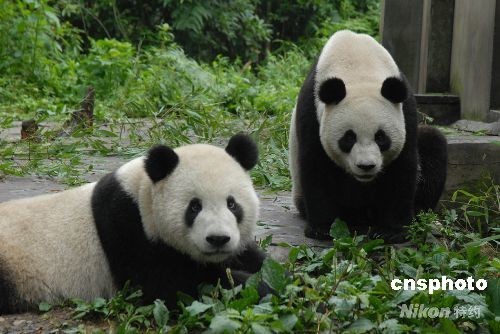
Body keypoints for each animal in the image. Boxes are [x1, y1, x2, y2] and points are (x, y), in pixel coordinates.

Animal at [0, 133, 266, 314]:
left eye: (232, 204)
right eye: (194, 207)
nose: (218, 239)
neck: (141, 194)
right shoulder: (129, 232)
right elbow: (178, 288)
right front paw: (260, 287)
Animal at [290, 30, 450, 240]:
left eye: (381, 137)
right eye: (349, 138)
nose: (366, 166)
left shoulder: (405, 110)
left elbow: (403, 166)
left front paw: (392, 231)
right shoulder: (312, 110)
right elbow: (316, 165)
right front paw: (323, 228)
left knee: (433, 144)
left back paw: (417, 215)